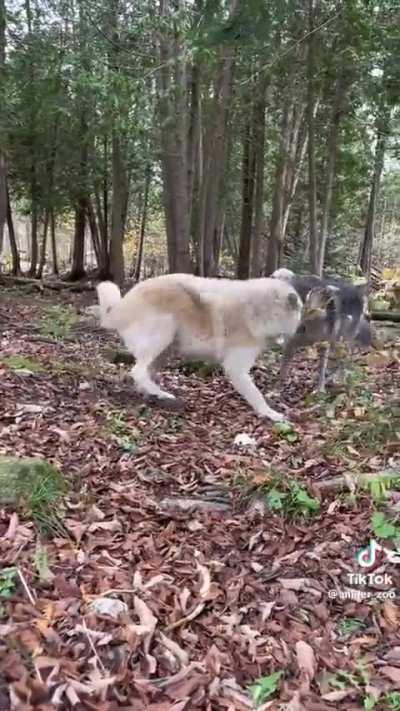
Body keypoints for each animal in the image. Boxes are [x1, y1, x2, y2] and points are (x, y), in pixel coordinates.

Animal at [96, 273, 303, 421]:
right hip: (164, 332)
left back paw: (152, 394)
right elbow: (256, 395)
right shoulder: (235, 368)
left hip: (166, 350)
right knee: (137, 371)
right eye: (299, 312)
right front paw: (270, 413)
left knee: (144, 374)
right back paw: (162, 394)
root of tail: (119, 306)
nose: (298, 333)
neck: (260, 311)